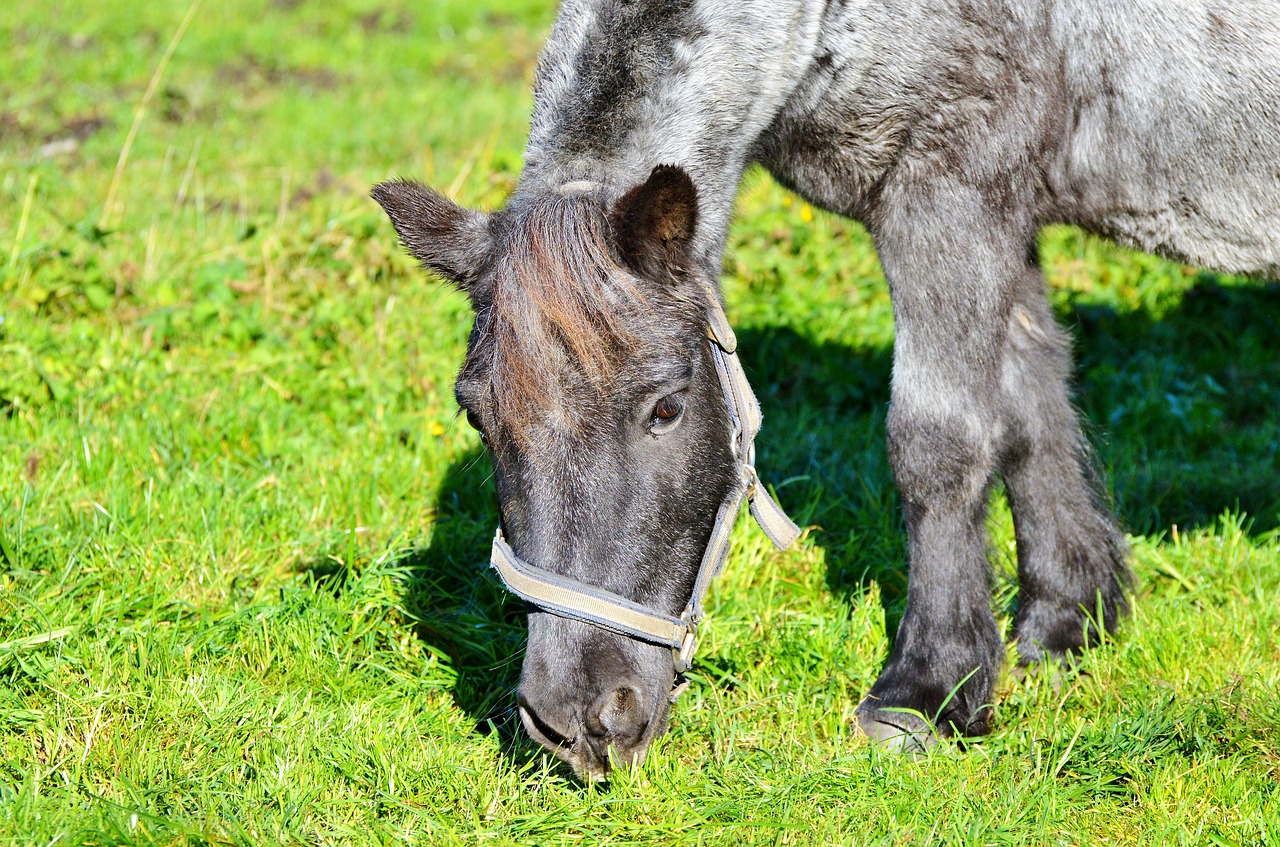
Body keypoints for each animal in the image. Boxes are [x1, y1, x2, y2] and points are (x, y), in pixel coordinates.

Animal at [373, 0, 1280, 777]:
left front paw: (928, 690)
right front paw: (1065, 623)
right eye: (477, 415)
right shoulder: (1002, 214)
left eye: (666, 407)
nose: (577, 721)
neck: (831, 22)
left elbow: (938, 442)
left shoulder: (946, 199)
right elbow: (1030, 406)